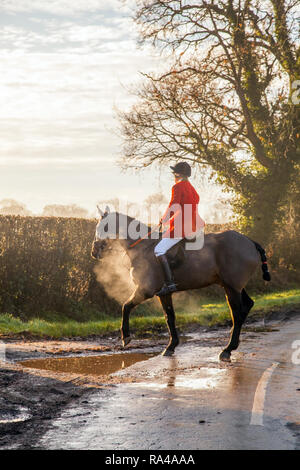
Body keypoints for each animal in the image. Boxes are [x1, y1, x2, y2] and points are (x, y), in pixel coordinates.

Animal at [90, 207, 270, 364]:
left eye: (103, 227)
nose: (94, 251)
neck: (142, 247)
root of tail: (249, 242)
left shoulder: (146, 290)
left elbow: (126, 307)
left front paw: (126, 337)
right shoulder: (164, 293)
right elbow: (170, 317)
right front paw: (171, 346)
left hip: (232, 288)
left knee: (237, 314)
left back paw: (227, 349)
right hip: (231, 285)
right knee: (247, 305)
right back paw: (233, 340)